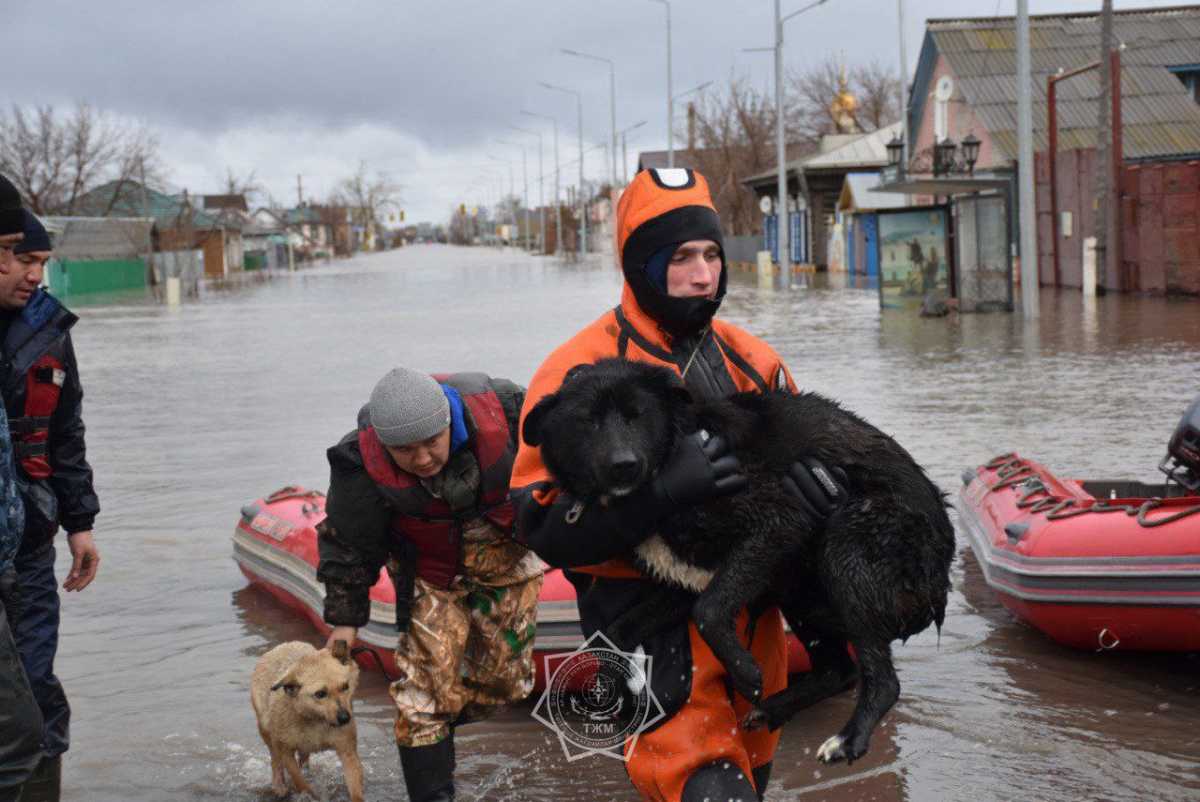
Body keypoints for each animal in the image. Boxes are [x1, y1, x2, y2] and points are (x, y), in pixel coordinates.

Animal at [250, 638, 362, 802]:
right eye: (320, 694)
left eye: (345, 686)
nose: (345, 718)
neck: (315, 720)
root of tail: (281, 646)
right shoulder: (285, 751)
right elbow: (299, 781)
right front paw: (310, 795)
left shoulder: (347, 750)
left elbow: (355, 788)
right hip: (266, 730)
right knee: (275, 760)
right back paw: (279, 785)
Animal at [525, 357, 955, 763]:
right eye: (588, 421)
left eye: (637, 414)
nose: (623, 465)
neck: (672, 462)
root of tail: (942, 578)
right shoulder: (686, 579)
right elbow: (617, 630)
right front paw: (622, 690)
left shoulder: (777, 521)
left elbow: (709, 609)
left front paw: (744, 670)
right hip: (800, 588)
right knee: (841, 669)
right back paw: (774, 710)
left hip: (847, 544)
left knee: (882, 679)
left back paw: (847, 739)